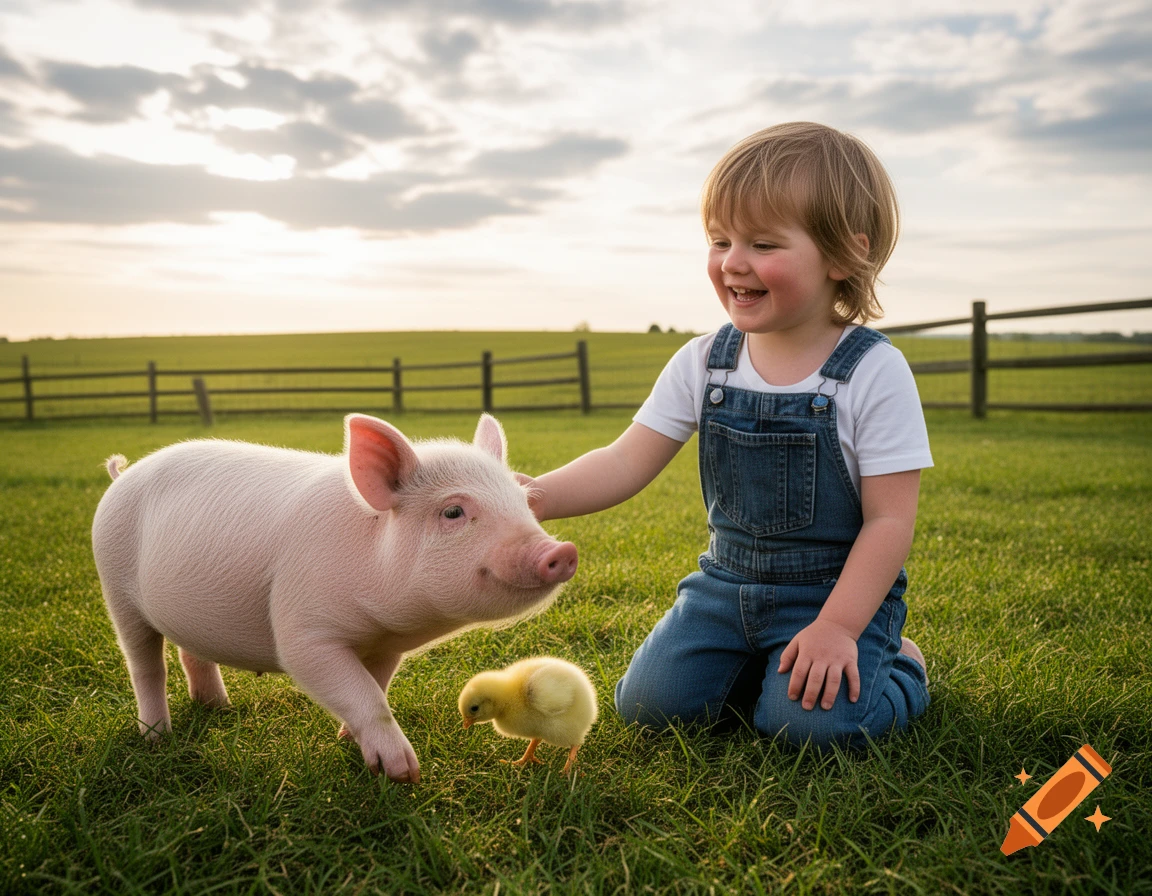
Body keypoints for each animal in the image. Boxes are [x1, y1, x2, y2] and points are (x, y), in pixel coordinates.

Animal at [91, 413, 577, 783]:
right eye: (453, 511)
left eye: (524, 501)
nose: (563, 551)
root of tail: (122, 476)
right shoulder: (302, 628)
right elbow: (359, 692)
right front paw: (404, 773)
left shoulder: (386, 646)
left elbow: (375, 685)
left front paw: (347, 740)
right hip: (116, 587)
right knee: (145, 665)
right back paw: (157, 737)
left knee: (191, 652)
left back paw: (219, 709)